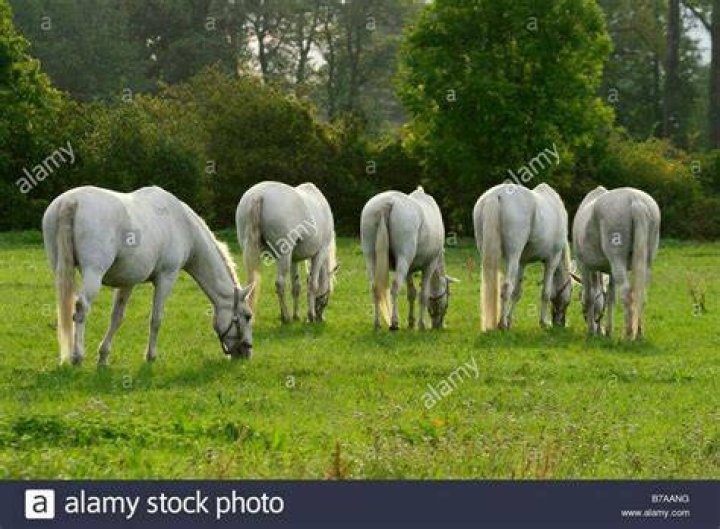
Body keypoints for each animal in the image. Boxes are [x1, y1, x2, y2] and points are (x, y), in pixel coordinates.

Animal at [42, 186, 255, 366]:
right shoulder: (166, 277)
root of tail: (71, 201)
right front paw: (150, 356)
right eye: (247, 316)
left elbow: (116, 317)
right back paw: (77, 356)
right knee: (81, 308)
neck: (181, 224)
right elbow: (156, 318)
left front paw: (103, 357)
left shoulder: (127, 282)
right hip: (93, 273)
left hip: (60, 270)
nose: (247, 352)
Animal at [236, 181, 337, 323]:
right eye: (328, 294)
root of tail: (258, 195)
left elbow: (296, 287)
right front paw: (310, 315)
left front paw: (297, 316)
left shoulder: (294, 259)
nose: (321, 318)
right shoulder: (320, 253)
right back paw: (285, 317)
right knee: (280, 283)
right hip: (284, 256)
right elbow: (313, 284)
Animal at [360, 186, 456, 331]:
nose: (438, 325)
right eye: (448, 296)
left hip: (371, 257)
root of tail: (387, 203)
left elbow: (411, 293)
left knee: (374, 287)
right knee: (395, 286)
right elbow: (423, 294)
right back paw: (394, 322)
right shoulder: (429, 265)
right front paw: (421, 324)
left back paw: (377, 324)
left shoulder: (409, 270)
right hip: (403, 258)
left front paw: (411, 322)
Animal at [473, 182, 572, 331]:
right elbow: (546, 293)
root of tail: (496, 195)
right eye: (571, 292)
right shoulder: (552, 261)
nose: (560, 323)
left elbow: (517, 293)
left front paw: (510, 319)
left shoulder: (522, 263)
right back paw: (502, 324)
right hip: (513, 257)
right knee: (506, 287)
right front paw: (543, 322)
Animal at [572, 186, 660, 340]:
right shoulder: (611, 272)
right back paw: (639, 334)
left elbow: (589, 297)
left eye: (579, 300)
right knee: (641, 295)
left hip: (617, 261)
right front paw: (608, 331)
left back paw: (628, 335)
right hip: (646, 263)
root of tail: (636, 201)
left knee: (627, 294)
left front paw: (591, 331)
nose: (597, 329)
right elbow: (611, 299)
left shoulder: (584, 266)